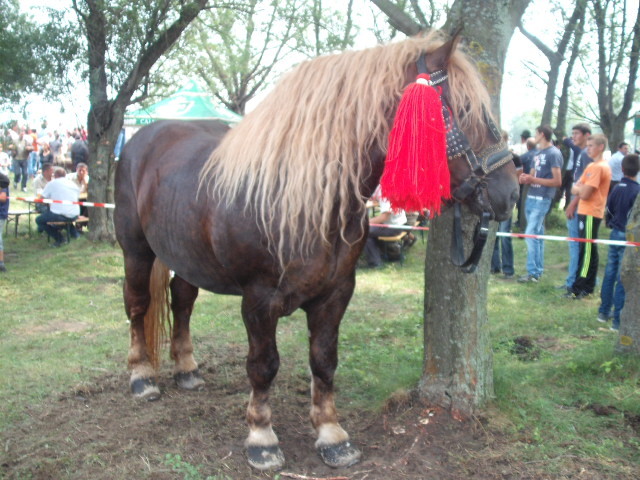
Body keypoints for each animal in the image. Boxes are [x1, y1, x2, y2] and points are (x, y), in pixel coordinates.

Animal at [114, 30, 520, 468]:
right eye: (463, 109)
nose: (511, 193)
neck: (299, 198)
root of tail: (143, 138)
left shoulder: (336, 292)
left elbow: (324, 361)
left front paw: (331, 435)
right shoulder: (258, 300)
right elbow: (263, 366)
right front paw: (261, 438)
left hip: (186, 255)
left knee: (182, 300)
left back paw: (187, 369)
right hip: (136, 250)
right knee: (137, 304)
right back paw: (142, 377)